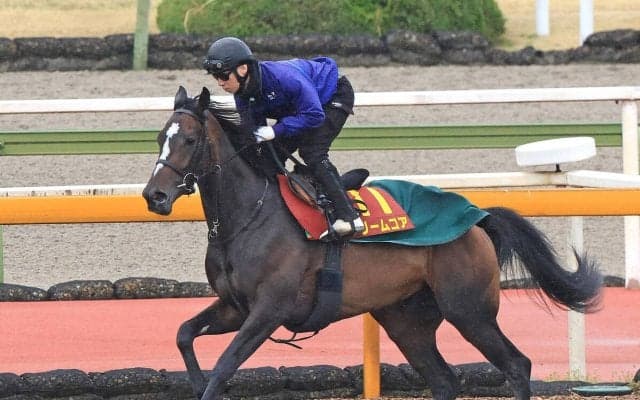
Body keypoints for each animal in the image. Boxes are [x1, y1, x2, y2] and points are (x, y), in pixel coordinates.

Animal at [142, 86, 602, 400]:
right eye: (160, 137)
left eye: (189, 140)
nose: (154, 196)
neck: (248, 218)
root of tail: (477, 219)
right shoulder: (235, 307)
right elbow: (184, 334)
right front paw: (194, 379)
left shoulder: (269, 309)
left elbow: (223, 367)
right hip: (405, 319)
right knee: (445, 380)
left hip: (469, 310)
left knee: (517, 365)